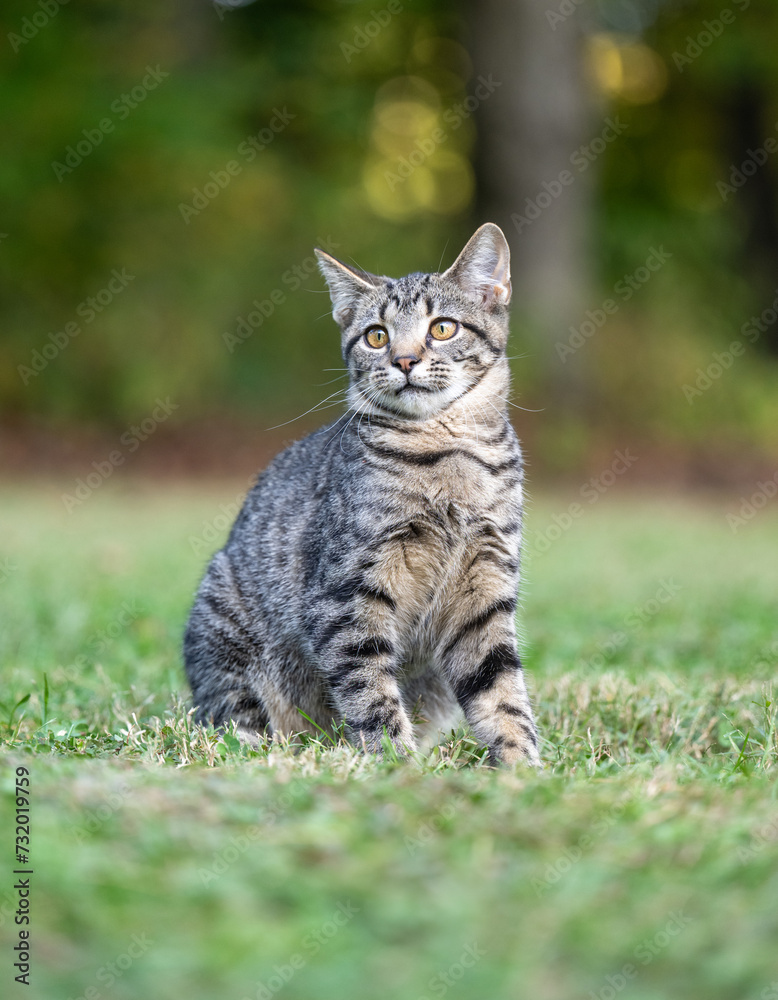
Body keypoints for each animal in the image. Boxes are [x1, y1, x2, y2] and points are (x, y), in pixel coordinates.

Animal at [185, 221, 544, 764]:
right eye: (377, 335)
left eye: (442, 328)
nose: (404, 359)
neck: (446, 450)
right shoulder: (347, 594)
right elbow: (369, 687)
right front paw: (396, 761)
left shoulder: (485, 587)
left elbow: (500, 689)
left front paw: (522, 764)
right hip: (224, 629)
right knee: (235, 719)